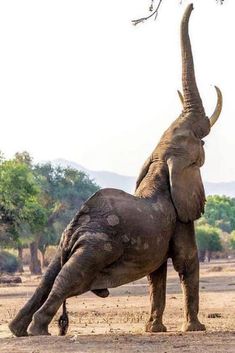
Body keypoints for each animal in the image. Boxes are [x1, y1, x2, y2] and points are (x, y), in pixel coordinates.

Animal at [8, 4, 222, 336]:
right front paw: (195, 329)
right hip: (97, 246)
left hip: (68, 241)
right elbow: (186, 261)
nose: (193, 6)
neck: (160, 164)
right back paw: (37, 330)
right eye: (201, 146)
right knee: (68, 279)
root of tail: (76, 228)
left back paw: (18, 329)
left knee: (50, 276)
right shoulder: (180, 218)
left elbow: (157, 273)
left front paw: (155, 330)